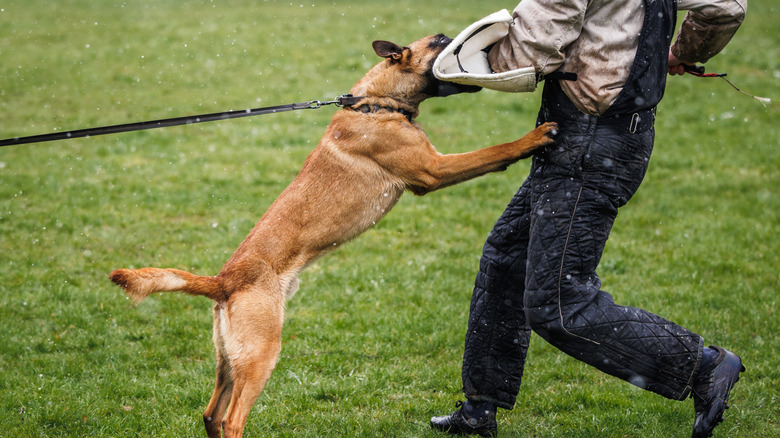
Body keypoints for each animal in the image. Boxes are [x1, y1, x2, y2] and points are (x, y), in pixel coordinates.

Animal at [109, 35, 556, 438]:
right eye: (440, 41)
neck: (376, 103)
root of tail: (223, 281)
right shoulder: (433, 170)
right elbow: (495, 151)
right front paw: (533, 138)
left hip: (229, 360)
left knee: (210, 414)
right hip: (261, 355)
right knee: (232, 419)